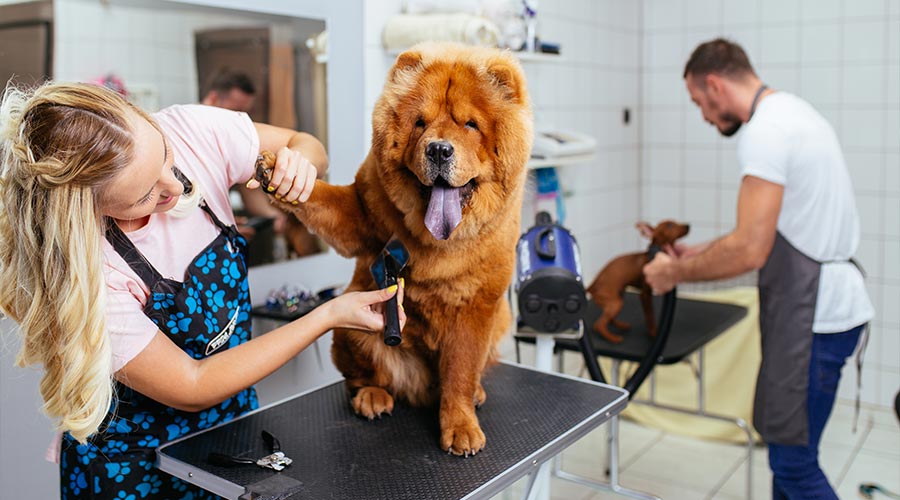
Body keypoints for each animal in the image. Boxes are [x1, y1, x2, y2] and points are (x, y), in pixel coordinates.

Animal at [256, 42, 532, 458]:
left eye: (470, 124)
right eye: (420, 123)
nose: (438, 150)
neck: (439, 240)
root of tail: (421, 389)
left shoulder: (476, 308)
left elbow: (461, 372)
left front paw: (461, 427)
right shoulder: (360, 211)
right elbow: (323, 199)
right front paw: (280, 173)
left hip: (499, 320)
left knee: (467, 375)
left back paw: (476, 394)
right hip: (351, 331)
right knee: (363, 376)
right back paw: (372, 397)